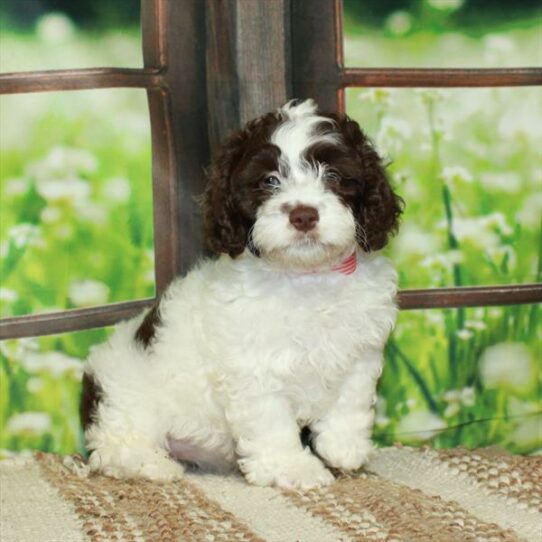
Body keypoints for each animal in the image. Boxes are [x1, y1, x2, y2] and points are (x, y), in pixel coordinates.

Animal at [81, 99, 404, 492]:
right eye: (269, 180)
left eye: (333, 175)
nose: (303, 215)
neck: (306, 275)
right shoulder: (254, 368)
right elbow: (272, 421)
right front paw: (292, 467)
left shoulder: (360, 352)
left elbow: (350, 400)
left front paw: (344, 448)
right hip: (126, 404)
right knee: (114, 446)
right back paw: (152, 465)